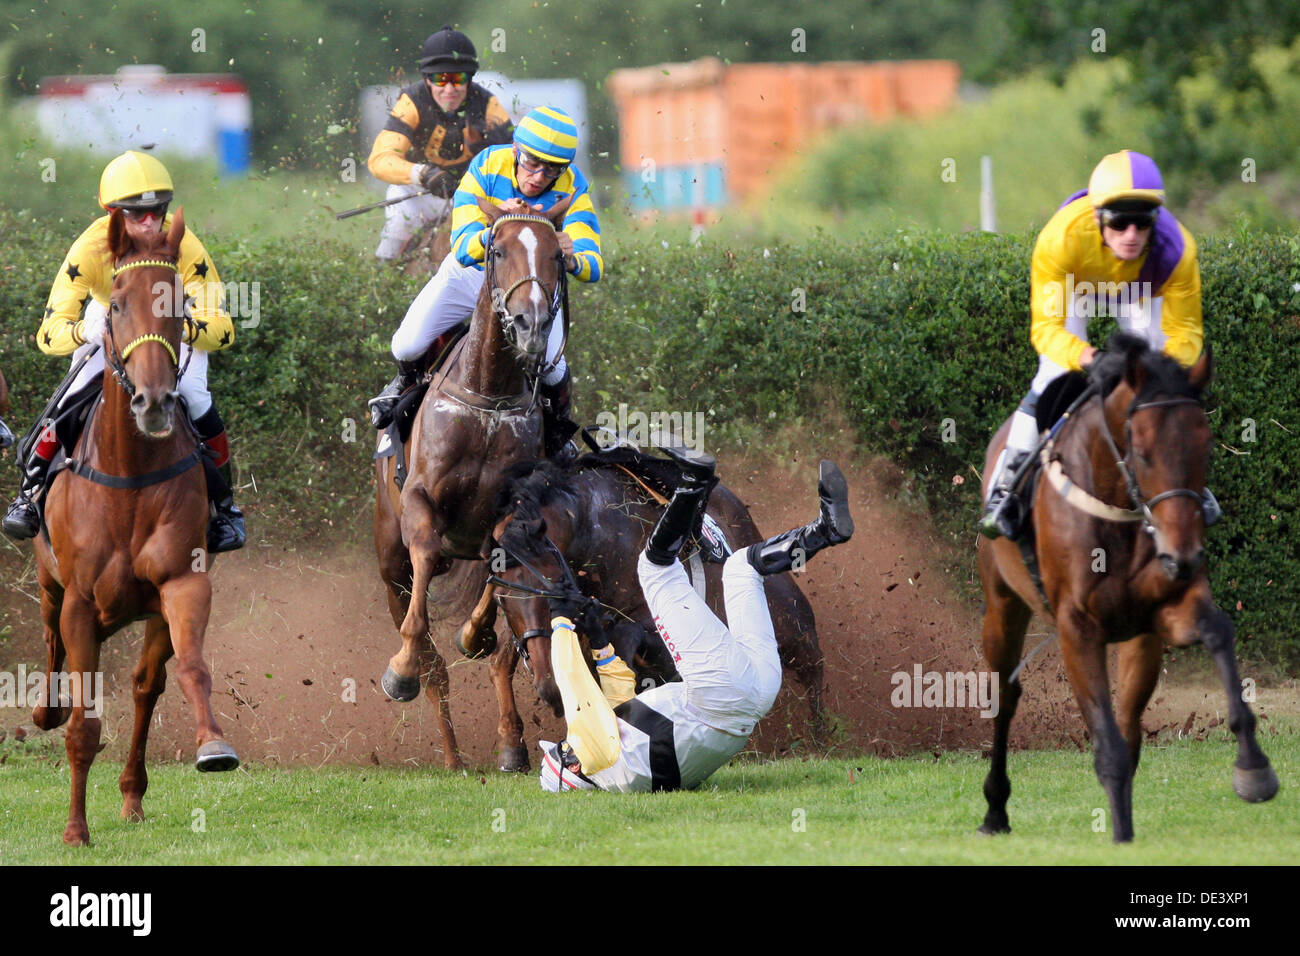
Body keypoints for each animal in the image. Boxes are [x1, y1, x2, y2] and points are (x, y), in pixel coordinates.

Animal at [31, 209, 239, 842]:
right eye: (117, 304)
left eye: (179, 306)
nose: (153, 402)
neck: (129, 477)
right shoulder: (78, 600)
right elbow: (83, 724)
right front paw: (75, 831)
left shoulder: (183, 583)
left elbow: (191, 668)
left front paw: (213, 745)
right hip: (49, 584)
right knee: (50, 639)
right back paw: (44, 709)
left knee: (148, 686)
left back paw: (131, 797)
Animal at [371, 200, 569, 770]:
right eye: (496, 249)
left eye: (558, 256)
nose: (531, 323)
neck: (490, 396)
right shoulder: (420, 501)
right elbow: (426, 556)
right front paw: (401, 669)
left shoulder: (512, 508)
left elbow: (500, 568)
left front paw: (474, 634)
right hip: (387, 556)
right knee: (432, 666)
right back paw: (451, 752)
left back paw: (507, 744)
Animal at [478, 452, 821, 775]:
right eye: (502, 601)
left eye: (552, 589)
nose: (548, 685)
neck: (594, 529)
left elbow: (625, 641)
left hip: (788, 619)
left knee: (811, 664)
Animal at [977, 332, 1274, 842]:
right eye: (1143, 449)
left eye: (1205, 446)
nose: (1184, 553)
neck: (1117, 506)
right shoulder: (1077, 627)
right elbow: (1108, 746)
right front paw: (1120, 837)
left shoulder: (1164, 610)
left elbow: (1218, 629)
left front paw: (1254, 768)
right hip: (1002, 602)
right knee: (1006, 696)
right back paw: (995, 810)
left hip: (1141, 641)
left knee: (1129, 723)